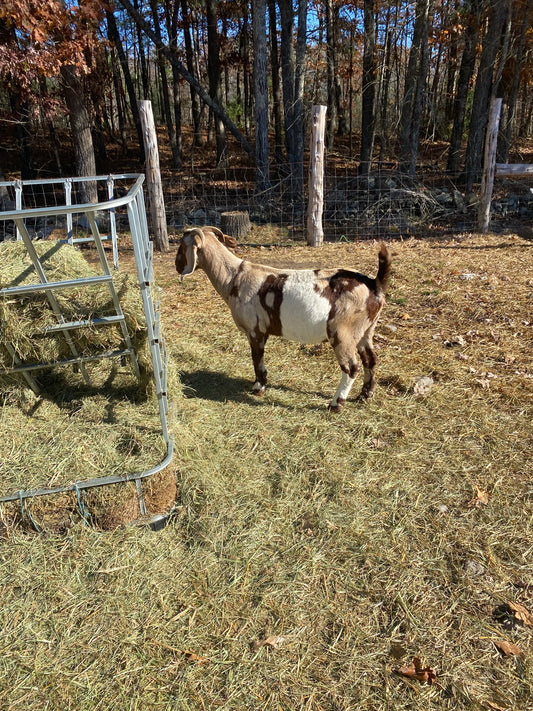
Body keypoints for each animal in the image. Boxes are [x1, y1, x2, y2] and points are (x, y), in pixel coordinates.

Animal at [177, 222, 388, 412]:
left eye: (182, 245)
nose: (177, 266)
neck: (235, 277)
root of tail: (374, 284)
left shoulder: (255, 330)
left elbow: (256, 358)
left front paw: (258, 387)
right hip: (365, 331)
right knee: (370, 360)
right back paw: (364, 396)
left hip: (343, 332)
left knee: (351, 367)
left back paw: (336, 404)